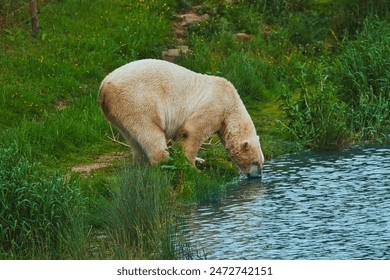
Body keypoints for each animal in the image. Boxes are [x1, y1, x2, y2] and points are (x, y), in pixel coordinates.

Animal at [98, 58, 266, 177]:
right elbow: (191, 131)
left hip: (119, 111)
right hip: (137, 101)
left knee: (133, 138)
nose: (257, 176)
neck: (231, 104)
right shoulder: (215, 106)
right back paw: (165, 162)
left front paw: (197, 160)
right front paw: (193, 168)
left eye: (261, 163)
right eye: (256, 162)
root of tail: (103, 87)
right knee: (150, 133)